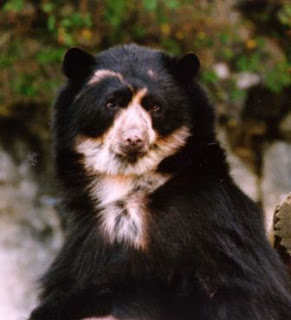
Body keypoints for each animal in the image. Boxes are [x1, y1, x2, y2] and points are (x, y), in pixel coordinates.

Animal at [29, 44, 291, 320]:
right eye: (111, 104)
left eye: (155, 106)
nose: (134, 139)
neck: (130, 182)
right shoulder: (88, 238)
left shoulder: (212, 221)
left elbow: (247, 293)